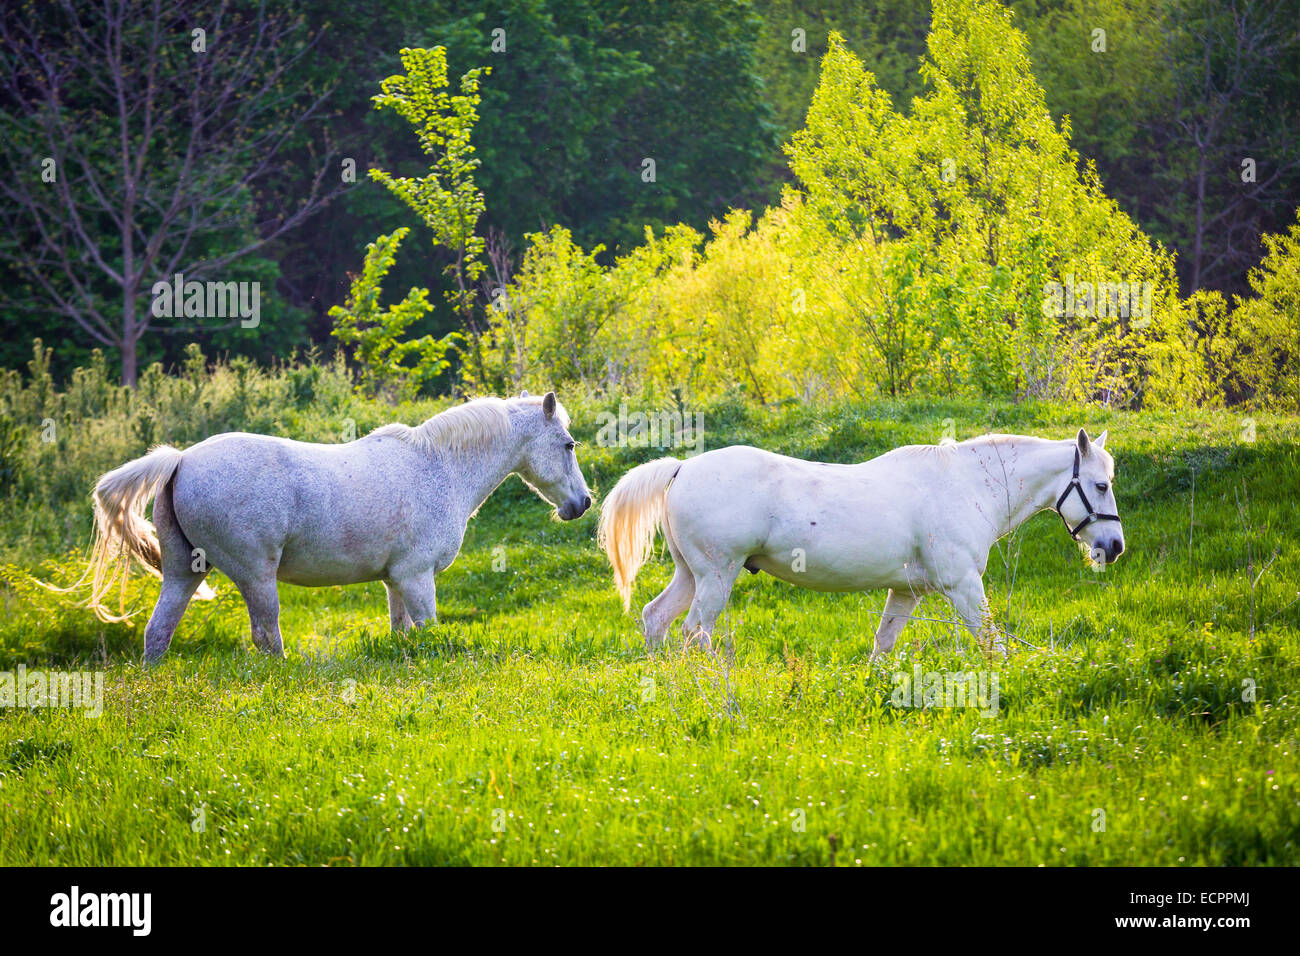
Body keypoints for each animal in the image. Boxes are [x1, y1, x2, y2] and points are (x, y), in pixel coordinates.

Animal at [68, 391, 591, 663]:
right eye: (568, 444)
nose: (582, 503)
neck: (437, 467)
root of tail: (180, 461)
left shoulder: (396, 581)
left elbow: (403, 632)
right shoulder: (417, 578)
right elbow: (428, 629)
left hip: (183, 573)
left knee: (158, 633)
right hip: (256, 576)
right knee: (266, 637)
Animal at [598, 428, 1124, 657]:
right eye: (1100, 485)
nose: (1114, 545)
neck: (967, 484)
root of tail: (683, 467)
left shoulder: (907, 592)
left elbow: (883, 643)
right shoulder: (963, 587)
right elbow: (990, 640)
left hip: (690, 573)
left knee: (657, 619)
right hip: (716, 576)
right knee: (694, 633)